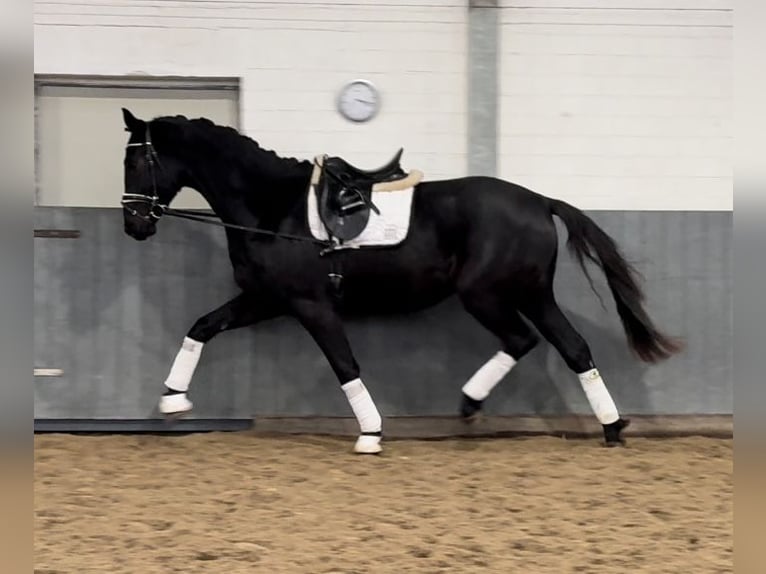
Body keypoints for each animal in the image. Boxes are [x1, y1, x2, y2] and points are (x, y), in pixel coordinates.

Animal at [120, 109, 684, 454]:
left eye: (138, 159)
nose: (134, 224)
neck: (272, 208)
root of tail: (539, 201)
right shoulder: (265, 299)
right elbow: (201, 326)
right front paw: (173, 400)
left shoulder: (309, 304)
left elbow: (345, 365)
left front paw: (370, 434)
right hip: (532, 293)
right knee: (573, 348)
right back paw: (608, 427)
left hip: (485, 293)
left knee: (524, 339)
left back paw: (472, 403)